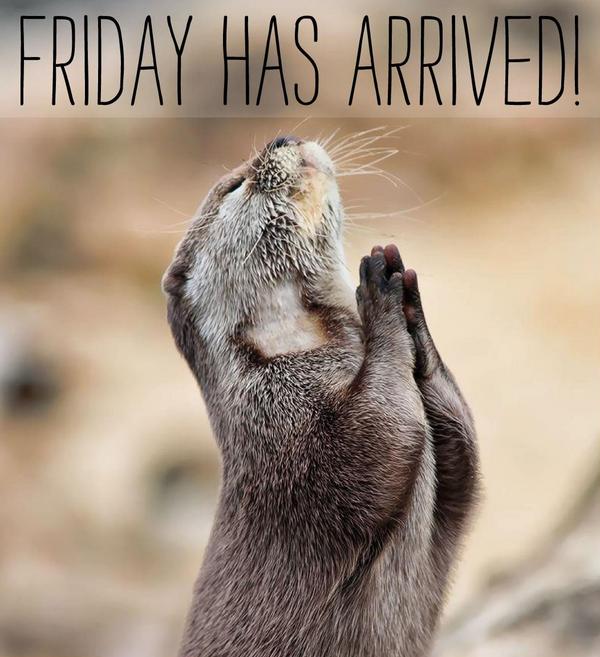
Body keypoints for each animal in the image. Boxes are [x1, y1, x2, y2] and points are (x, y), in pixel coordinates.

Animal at [162, 134, 479, 657]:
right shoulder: (282, 427)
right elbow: (379, 436)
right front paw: (379, 296)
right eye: (235, 185)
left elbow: (464, 459)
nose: (281, 138)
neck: (288, 352)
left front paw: (410, 309)